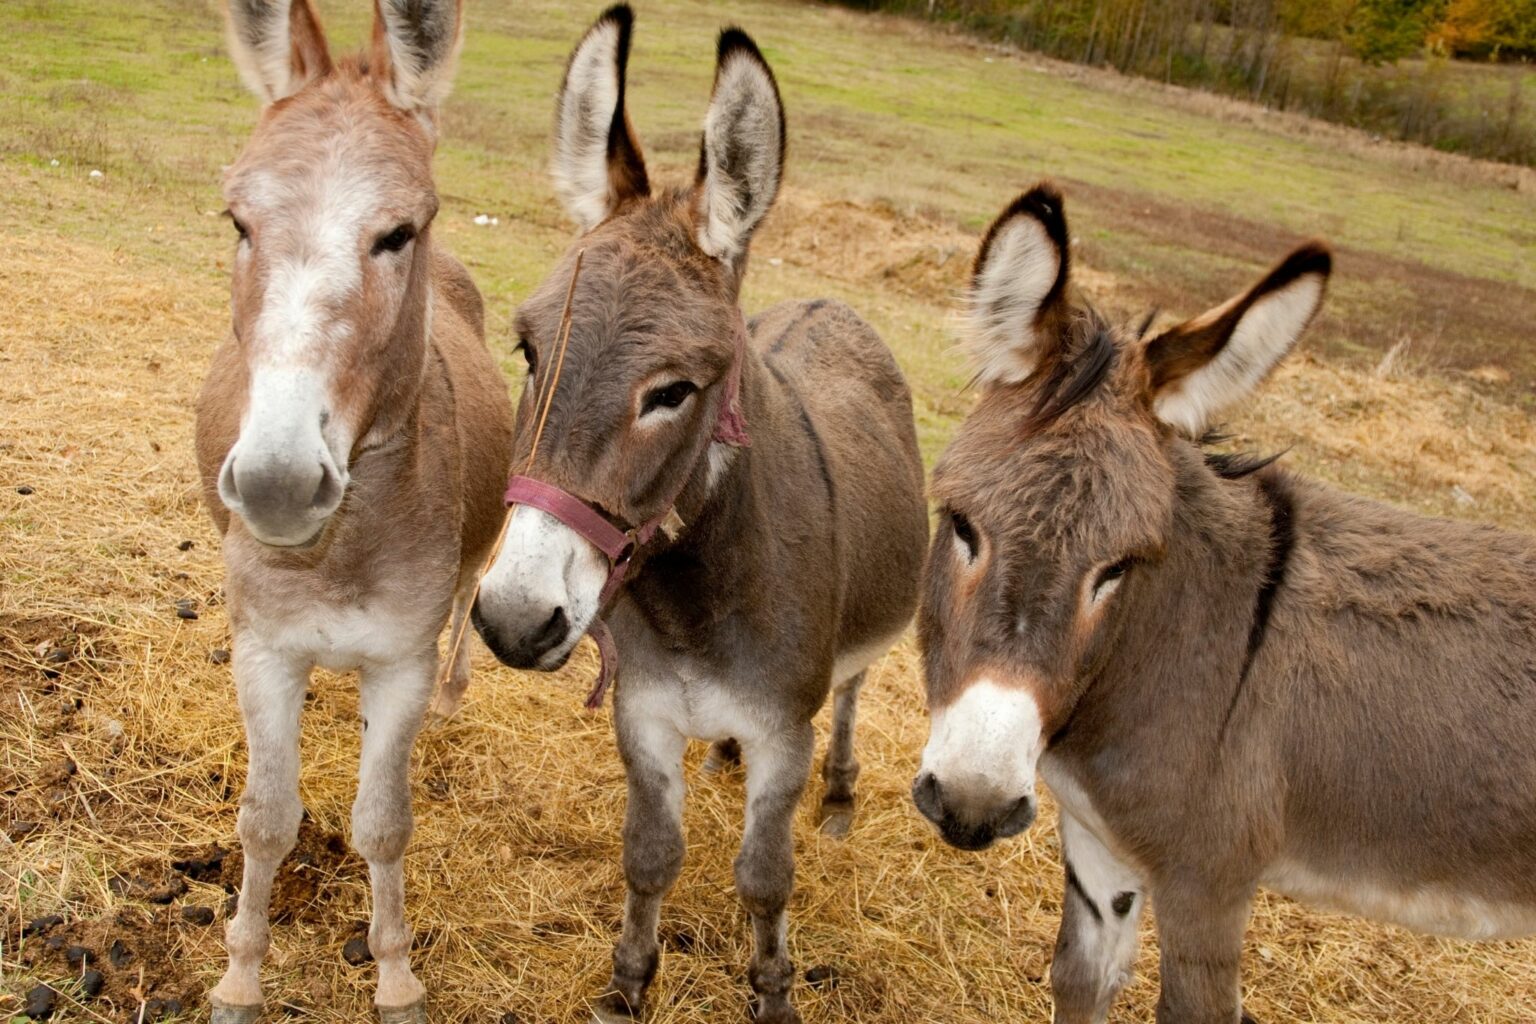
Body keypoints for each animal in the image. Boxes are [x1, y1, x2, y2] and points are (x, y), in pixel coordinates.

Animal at [194, 2, 513, 1019]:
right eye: (239, 220)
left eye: (398, 233)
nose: (278, 482)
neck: (335, 552)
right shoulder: (265, 650)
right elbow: (265, 821)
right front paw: (239, 978)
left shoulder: (398, 662)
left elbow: (382, 825)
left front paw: (397, 976)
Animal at [469, 7, 928, 1022]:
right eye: (527, 350)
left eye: (673, 391)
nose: (514, 621)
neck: (695, 605)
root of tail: (832, 301)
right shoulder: (641, 713)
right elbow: (650, 856)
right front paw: (626, 985)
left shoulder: (784, 734)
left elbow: (764, 877)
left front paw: (773, 993)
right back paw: (720, 757)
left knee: (851, 696)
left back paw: (841, 800)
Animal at [912, 183, 1536, 1023]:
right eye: (962, 525)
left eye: (1118, 568)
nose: (972, 804)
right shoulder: (1102, 844)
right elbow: (1078, 979)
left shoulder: (1210, 883)